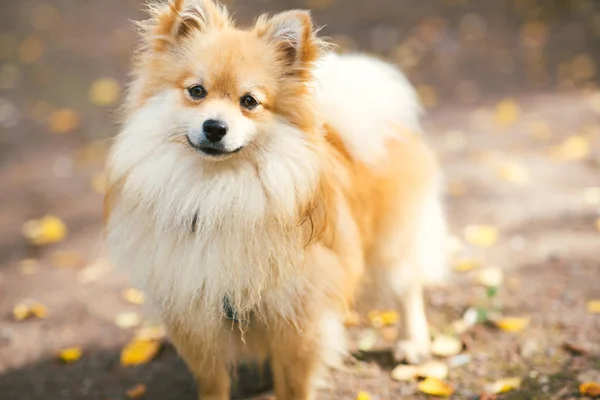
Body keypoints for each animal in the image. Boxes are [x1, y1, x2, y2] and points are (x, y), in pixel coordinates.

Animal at [103, 1, 448, 398]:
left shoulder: (298, 314)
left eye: (249, 102)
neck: (217, 193)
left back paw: (412, 342)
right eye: (196, 91)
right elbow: (213, 382)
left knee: (407, 286)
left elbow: (294, 383)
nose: (214, 127)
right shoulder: (195, 315)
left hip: (390, 243)